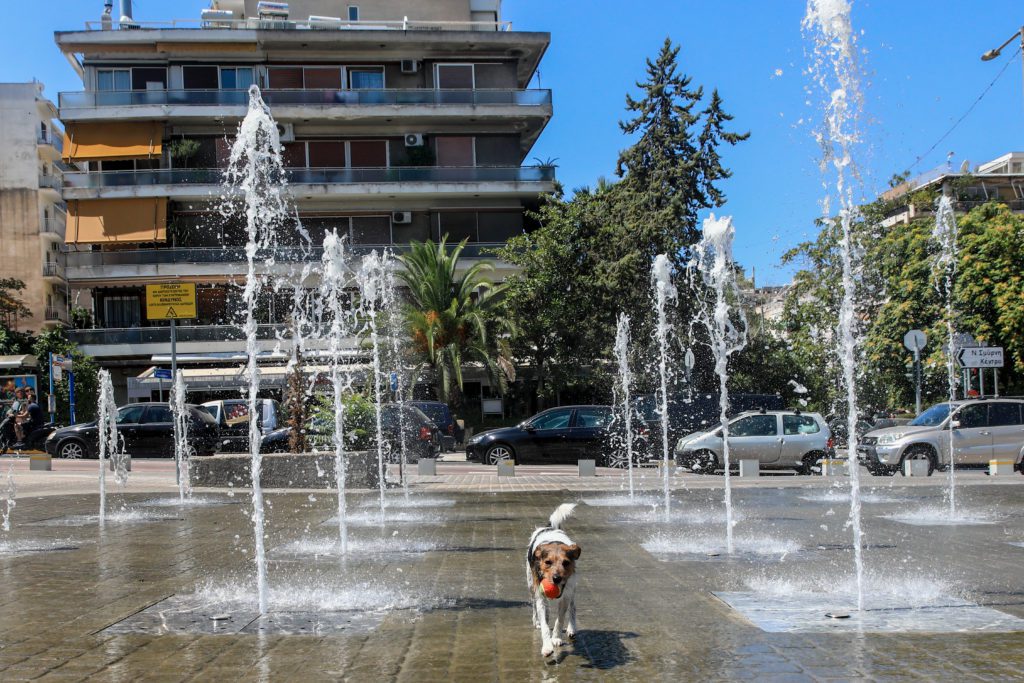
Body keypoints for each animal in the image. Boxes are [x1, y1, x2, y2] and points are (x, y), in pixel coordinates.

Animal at [528, 501, 585, 655]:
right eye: (548, 562)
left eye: (566, 562)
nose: (556, 578)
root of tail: (551, 527)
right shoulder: (540, 595)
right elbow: (545, 625)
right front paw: (547, 646)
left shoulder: (565, 595)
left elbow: (560, 620)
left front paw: (556, 638)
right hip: (531, 586)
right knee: (535, 606)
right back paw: (537, 621)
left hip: (572, 589)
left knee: (573, 607)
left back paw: (571, 628)